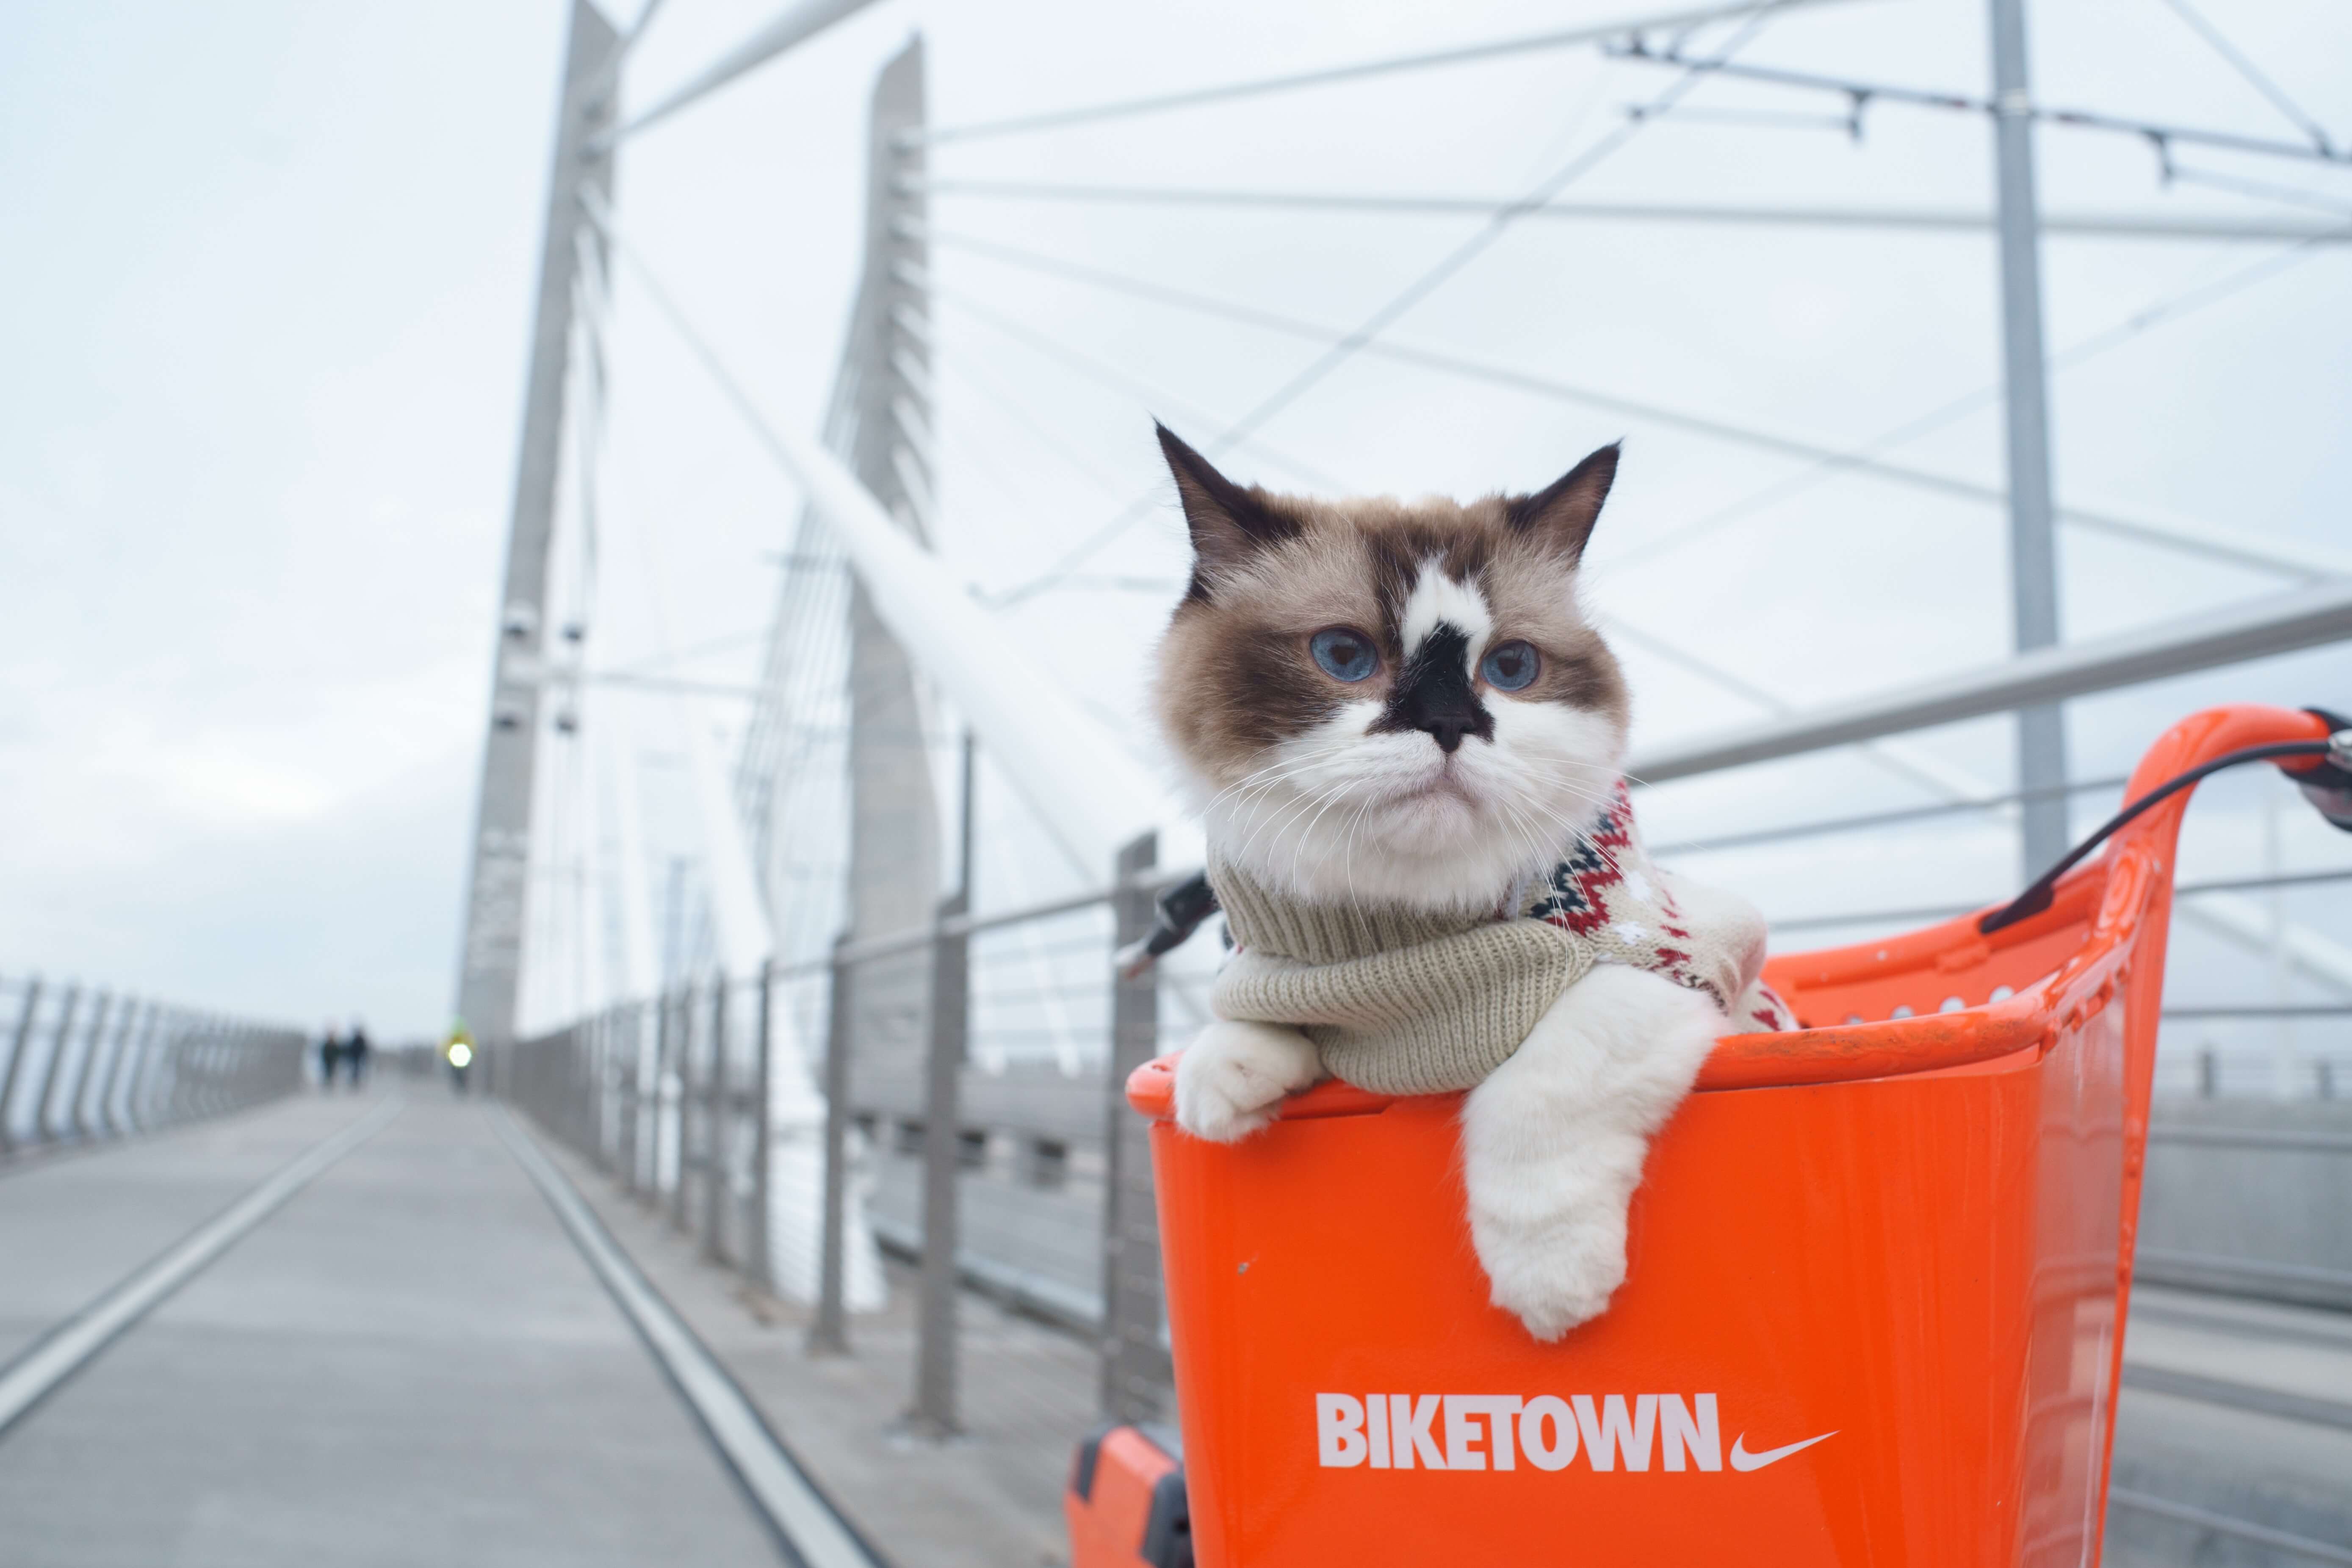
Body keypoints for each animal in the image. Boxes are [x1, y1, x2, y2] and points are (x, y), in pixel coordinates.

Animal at [1143, 425, 1778, 1335]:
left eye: (1509, 667)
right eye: (1344, 655)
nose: (1448, 724)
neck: (1408, 937)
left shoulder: (1684, 966)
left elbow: (1541, 1084)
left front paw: (1549, 1286)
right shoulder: (1295, 970)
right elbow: (1251, 1011)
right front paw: (1223, 1084)